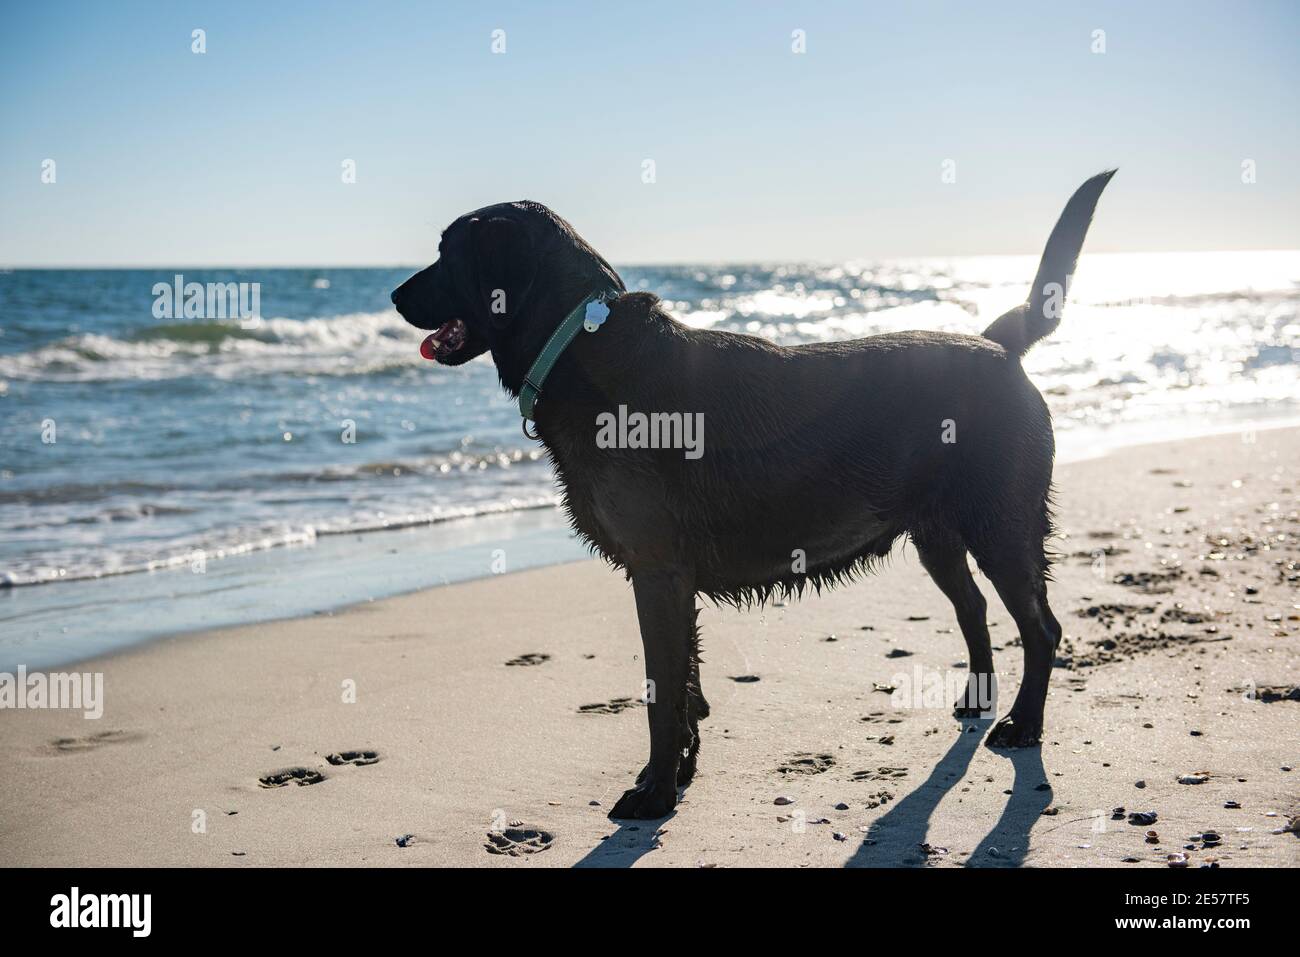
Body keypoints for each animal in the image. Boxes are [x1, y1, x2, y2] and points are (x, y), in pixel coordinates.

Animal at [390, 170, 1112, 816]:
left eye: (448, 251)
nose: (394, 295)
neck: (580, 343)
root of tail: (998, 344)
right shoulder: (671, 581)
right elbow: (686, 688)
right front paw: (676, 774)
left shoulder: (657, 573)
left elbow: (662, 693)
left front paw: (654, 792)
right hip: (938, 535)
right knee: (975, 610)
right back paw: (979, 700)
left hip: (1003, 527)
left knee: (1042, 626)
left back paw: (1024, 724)